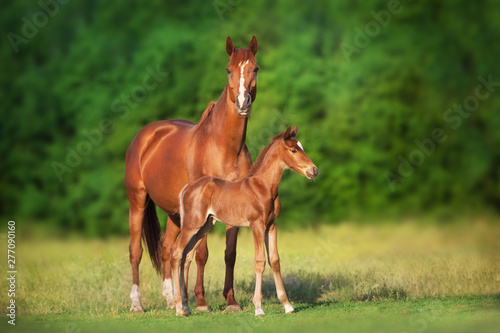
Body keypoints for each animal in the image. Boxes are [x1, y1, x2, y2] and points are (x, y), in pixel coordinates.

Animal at [172, 125, 318, 316]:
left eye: (301, 147)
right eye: (293, 150)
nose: (314, 171)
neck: (263, 187)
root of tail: (186, 189)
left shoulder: (271, 226)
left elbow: (275, 261)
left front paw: (287, 305)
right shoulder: (256, 225)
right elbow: (260, 261)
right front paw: (258, 308)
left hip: (204, 227)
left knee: (187, 255)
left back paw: (187, 307)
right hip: (191, 225)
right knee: (176, 252)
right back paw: (179, 308)